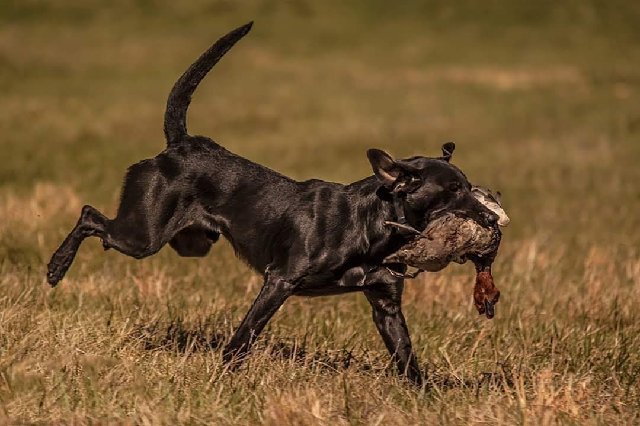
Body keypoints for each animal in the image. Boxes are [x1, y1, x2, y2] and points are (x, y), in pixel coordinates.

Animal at [47, 22, 498, 386]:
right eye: (454, 190)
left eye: (469, 186)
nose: (492, 218)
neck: (373, 225)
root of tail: (180, 144)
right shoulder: (279, 280)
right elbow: (246, 334)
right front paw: (222, 377)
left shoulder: (385, 304)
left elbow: (406, 356)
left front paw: (424, 397)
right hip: (144, 235)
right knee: (89, 216)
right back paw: (56, 267)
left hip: (189, 242)